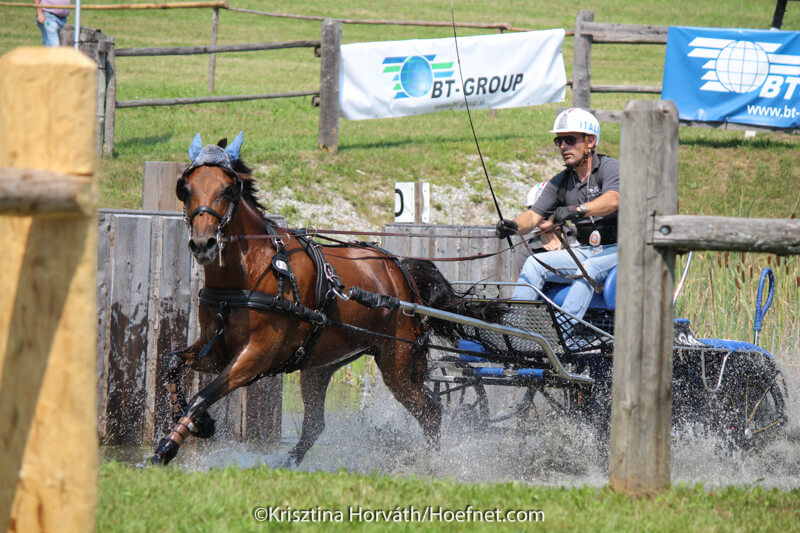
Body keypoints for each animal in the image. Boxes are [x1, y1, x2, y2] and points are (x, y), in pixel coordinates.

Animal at [150, 132, 489, 466]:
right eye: (185, 189)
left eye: (229, 188)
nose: (203, 243)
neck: (253, 269)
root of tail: (403, 272)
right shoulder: (218, 349)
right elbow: (173, 362)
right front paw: (195, 422)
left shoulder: (256, 354)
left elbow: (203, 395)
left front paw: (167, 446)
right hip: (321, 363)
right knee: (315, 424)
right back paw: (287, 463)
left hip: (400, 365)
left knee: (430, 411)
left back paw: (433, 463)